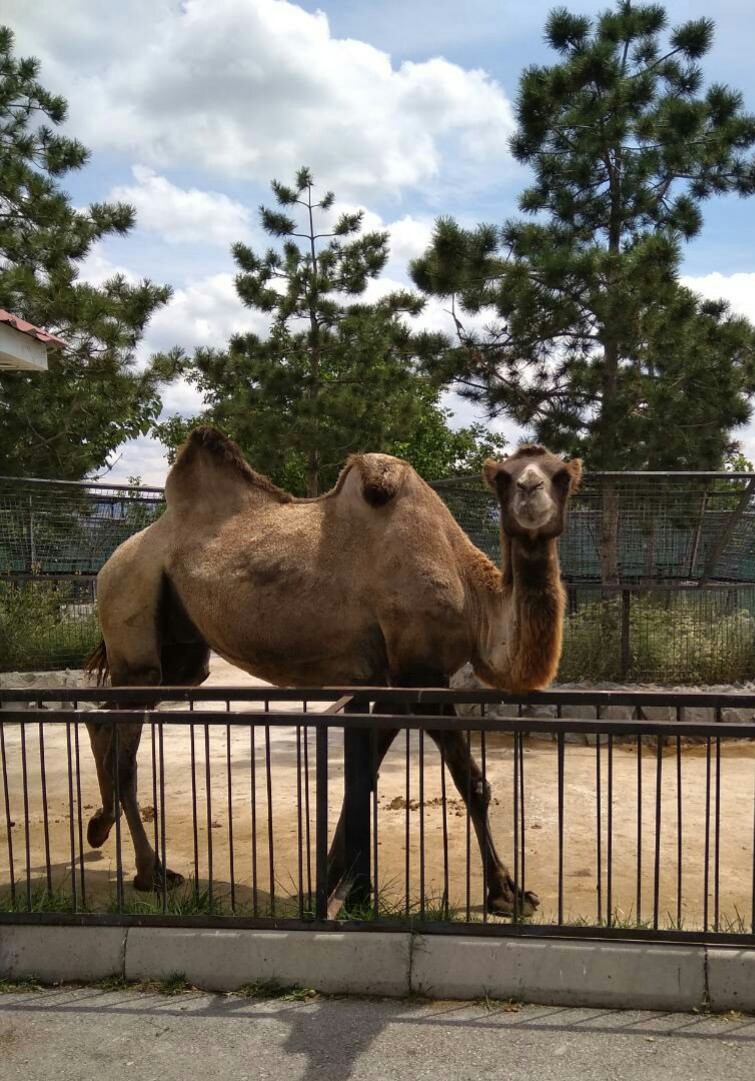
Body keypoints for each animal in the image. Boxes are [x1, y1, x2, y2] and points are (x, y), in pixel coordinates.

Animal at [85, 425, 579, 916]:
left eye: (562, 477)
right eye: (505, 480)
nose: (531, 495)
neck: (470, 591)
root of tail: (112, 560)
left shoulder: (393, 682)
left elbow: (364, 779)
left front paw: (333, 878)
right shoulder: (421, 675)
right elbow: (471, 781)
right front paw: (507, 894)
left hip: (181, 655)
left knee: (103, 715)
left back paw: (100, 827)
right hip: (133, 606)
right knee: (125, 750)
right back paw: (151, 873)